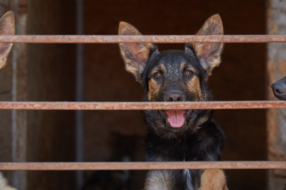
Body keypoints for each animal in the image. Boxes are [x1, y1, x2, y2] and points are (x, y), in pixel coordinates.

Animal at [118, 14, 228, 189]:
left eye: (189, 73)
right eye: (157, 75)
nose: (174, 98)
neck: (181, 144)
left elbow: (215, 172)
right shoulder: (156, 181)